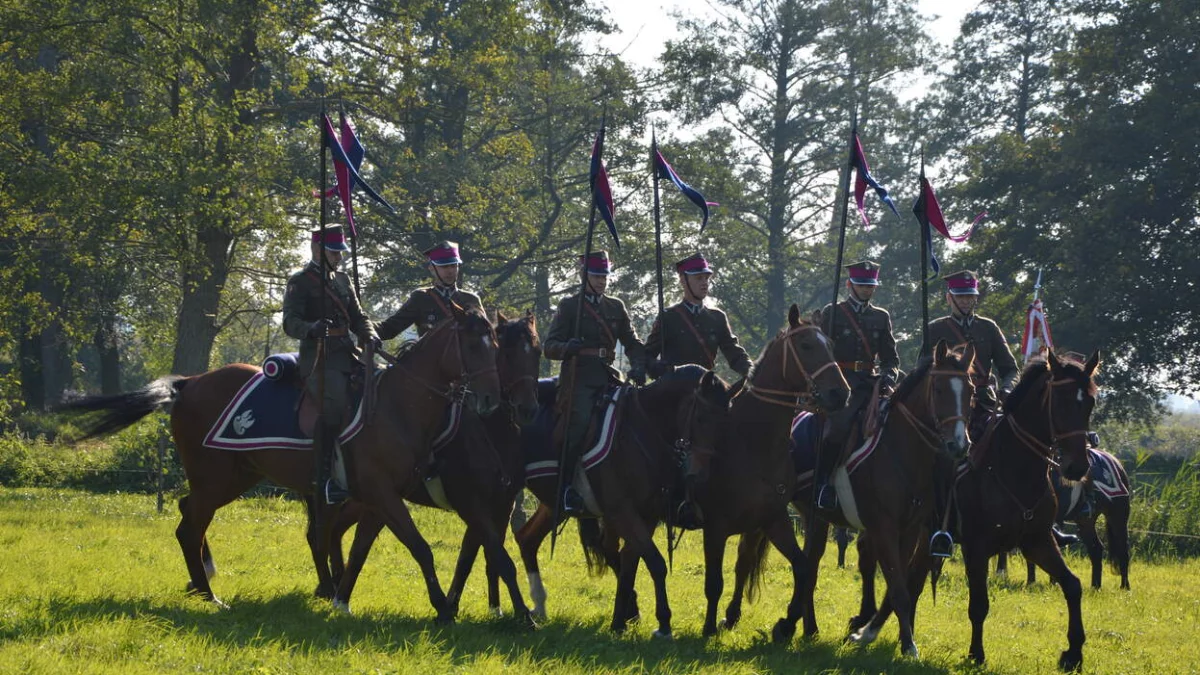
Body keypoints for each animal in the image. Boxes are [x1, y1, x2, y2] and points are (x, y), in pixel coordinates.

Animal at [59, 303, 501, 614]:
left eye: (495, 345)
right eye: (472, 344)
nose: (489, 400)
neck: (397, 404)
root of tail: (189, 383)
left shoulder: (380, 499)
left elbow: (361, 547)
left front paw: (343, 597)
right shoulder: (381, 494)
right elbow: (419, 546)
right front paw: (442, 606)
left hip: (236, 477)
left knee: (190, 516)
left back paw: (202, 582)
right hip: (215, 479)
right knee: (189, 527)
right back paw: (209, 595)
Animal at [324, 309, 540, 619]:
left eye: (537, 350)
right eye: (507, 352)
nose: (528, 409)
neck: (489, 431)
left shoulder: (501, 504)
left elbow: (480, 557)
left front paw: (491, 608)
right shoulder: (471, 503)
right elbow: (491, 557)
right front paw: (516, 613)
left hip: (366, 498)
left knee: (338, 529)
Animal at [508, 362, 729, 634]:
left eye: (725, 422)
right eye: (700, 418)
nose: (700, 474)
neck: (644, 427)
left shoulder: (645, 515)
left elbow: (629, 563)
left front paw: (620, 620)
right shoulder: (622, 512)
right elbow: (654, 562)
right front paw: (663, 622)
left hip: (552, 505)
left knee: (527, 539)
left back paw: (538, 605)